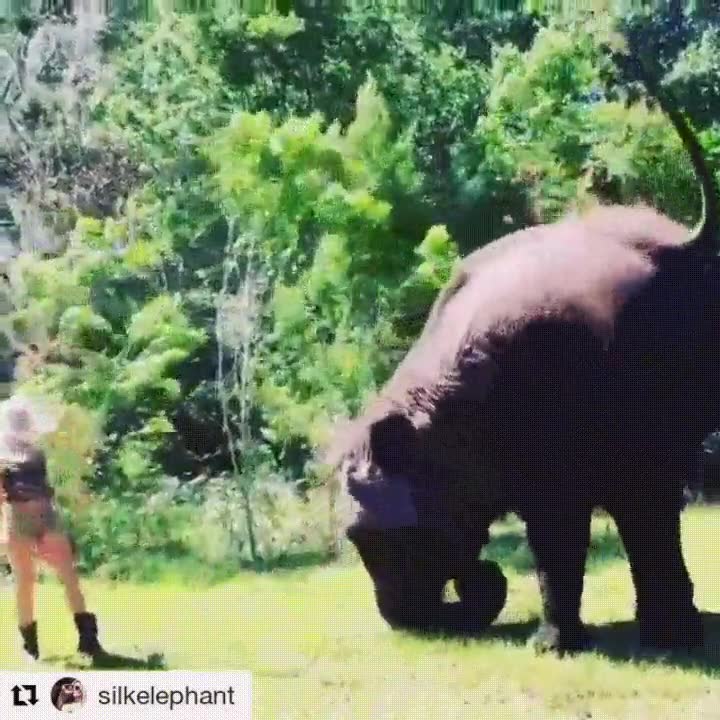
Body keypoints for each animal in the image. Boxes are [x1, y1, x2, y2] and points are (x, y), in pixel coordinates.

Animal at [326, 64, 718, 654]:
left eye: (380, 539)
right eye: (354, 537)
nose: (481, 579)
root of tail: (676, 244)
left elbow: (560, 525)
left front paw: (552, 648)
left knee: (645, 501)